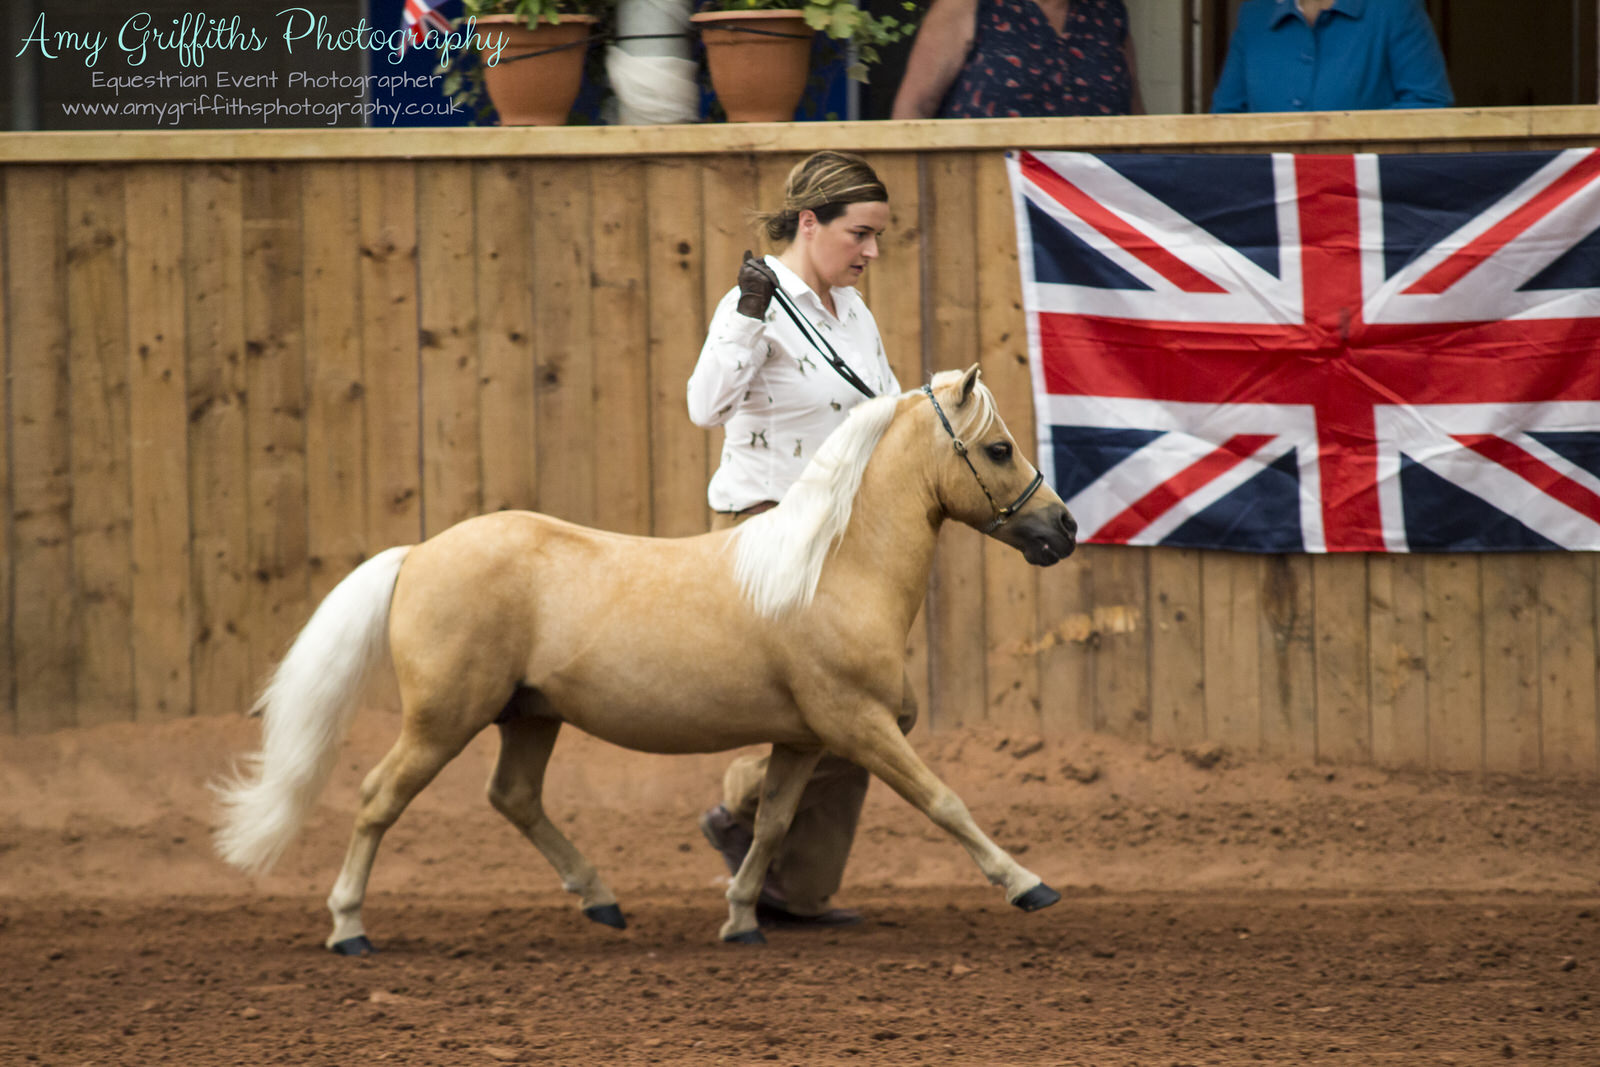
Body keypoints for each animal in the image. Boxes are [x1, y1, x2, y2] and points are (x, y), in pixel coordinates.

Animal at [216, 364, 1075, 953]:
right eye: (999, 446)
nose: (1062, 528)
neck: (829, 567)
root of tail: (419, 552)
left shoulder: (802, 738)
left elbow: (772, 823)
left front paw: (741, 918)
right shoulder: (859, 724)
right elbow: (945, 801)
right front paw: (1029, 884)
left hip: (529, 716)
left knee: (513, 796)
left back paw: (602, 899)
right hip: (442, 720)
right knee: (376, 798)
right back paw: (349, 928)